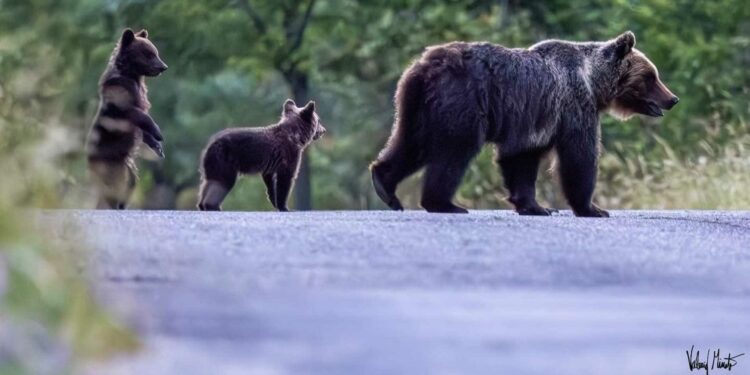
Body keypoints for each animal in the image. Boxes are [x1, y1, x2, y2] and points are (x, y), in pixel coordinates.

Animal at [374, 33, 680, 219]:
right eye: (651, 76)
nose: (672, 99)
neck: (594, 84)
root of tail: (425, 65)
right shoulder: (574, 106)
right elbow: (578, 157)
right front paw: (593, 208)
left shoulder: (535, 121)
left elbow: (521, 159)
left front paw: (535, 206)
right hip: (462, 101)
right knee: (454, 151)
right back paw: (445, 203)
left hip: (416, 106)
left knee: (411, 144)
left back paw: (385, 186)